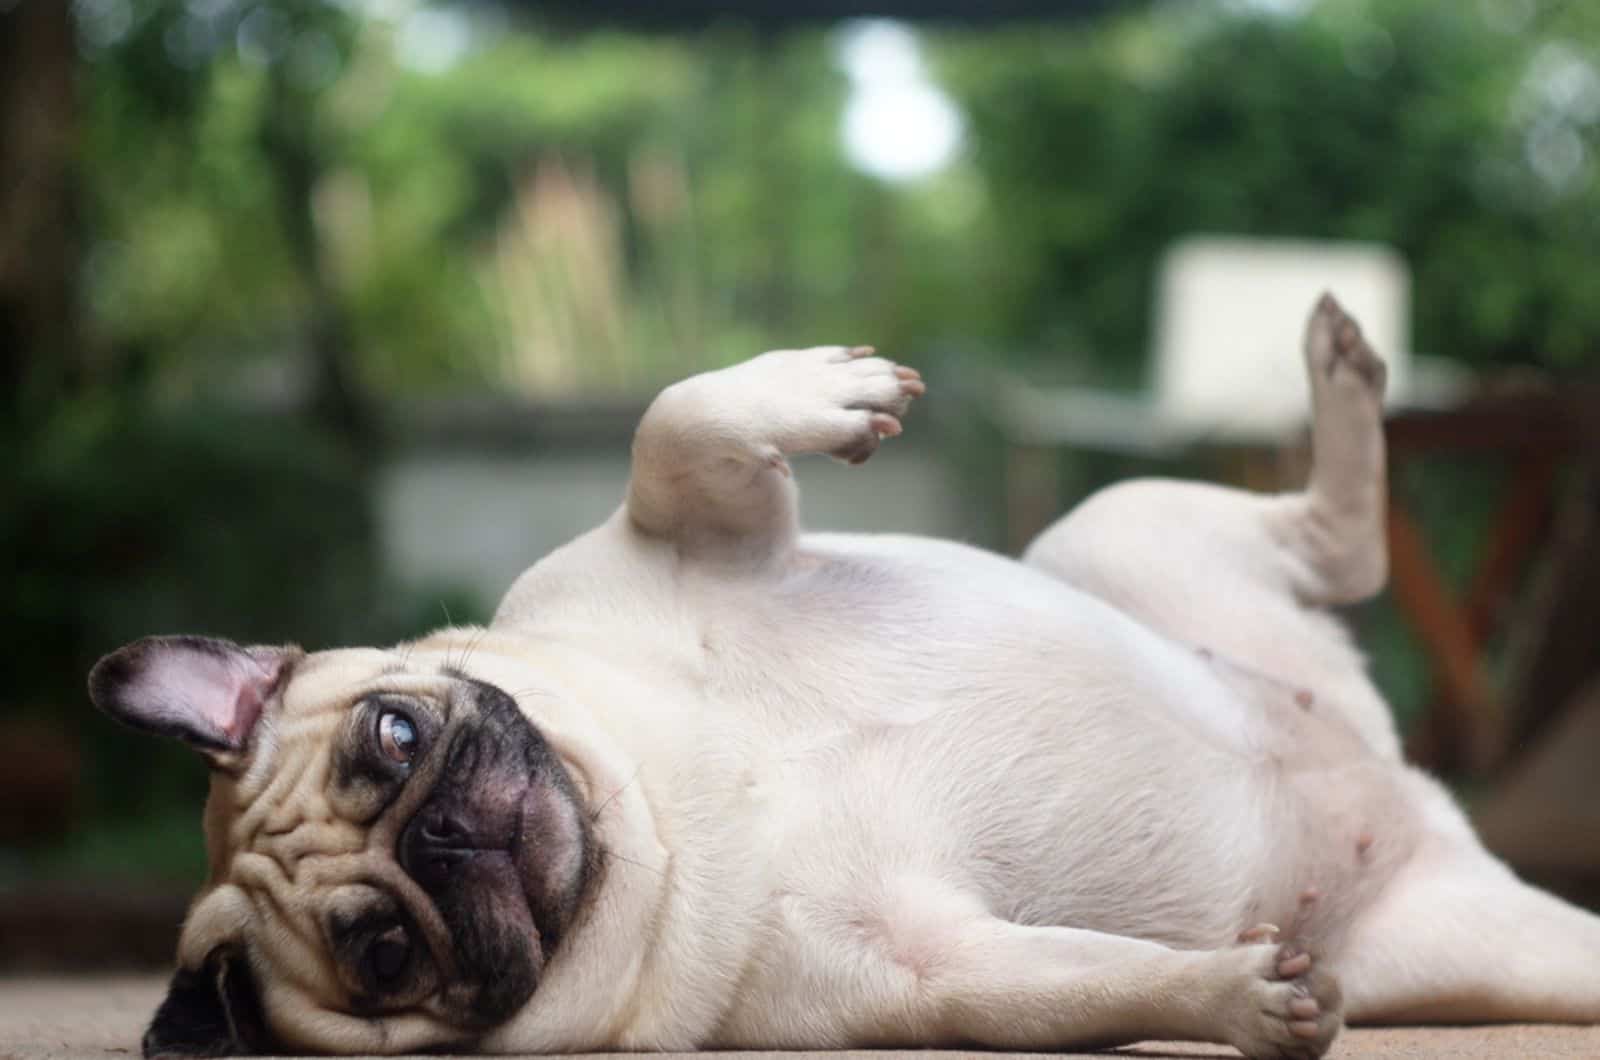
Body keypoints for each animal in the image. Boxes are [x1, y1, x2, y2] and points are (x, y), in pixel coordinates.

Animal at [90, 294, 1600, 1056]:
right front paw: (1235, 999)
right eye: (384, 954)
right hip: (1472, 956)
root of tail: (1403, 783)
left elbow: (675, 426)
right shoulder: (932, 978)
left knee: (1334, 540)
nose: (446, 835)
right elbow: (1080, 988)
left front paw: (823, 391)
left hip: (1119, 532)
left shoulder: (677, 538)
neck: (666, 818)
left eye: (396, 736)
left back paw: (1339, 381)